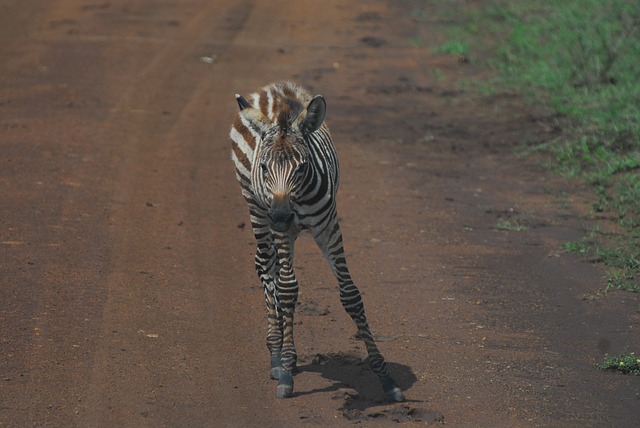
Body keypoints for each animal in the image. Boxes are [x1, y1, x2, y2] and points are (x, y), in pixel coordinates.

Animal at [228, 82, 402, 402]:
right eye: (264, 168)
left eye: (302, 166)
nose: (280, 215)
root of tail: (271, 87)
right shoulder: (281, 227)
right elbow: (287, 290)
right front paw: (285, 373)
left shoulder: (329, 227)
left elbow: (350, 294)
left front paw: (385, 377)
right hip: (256, 207)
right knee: (265, 266)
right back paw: (276, 353)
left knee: (272, 269)